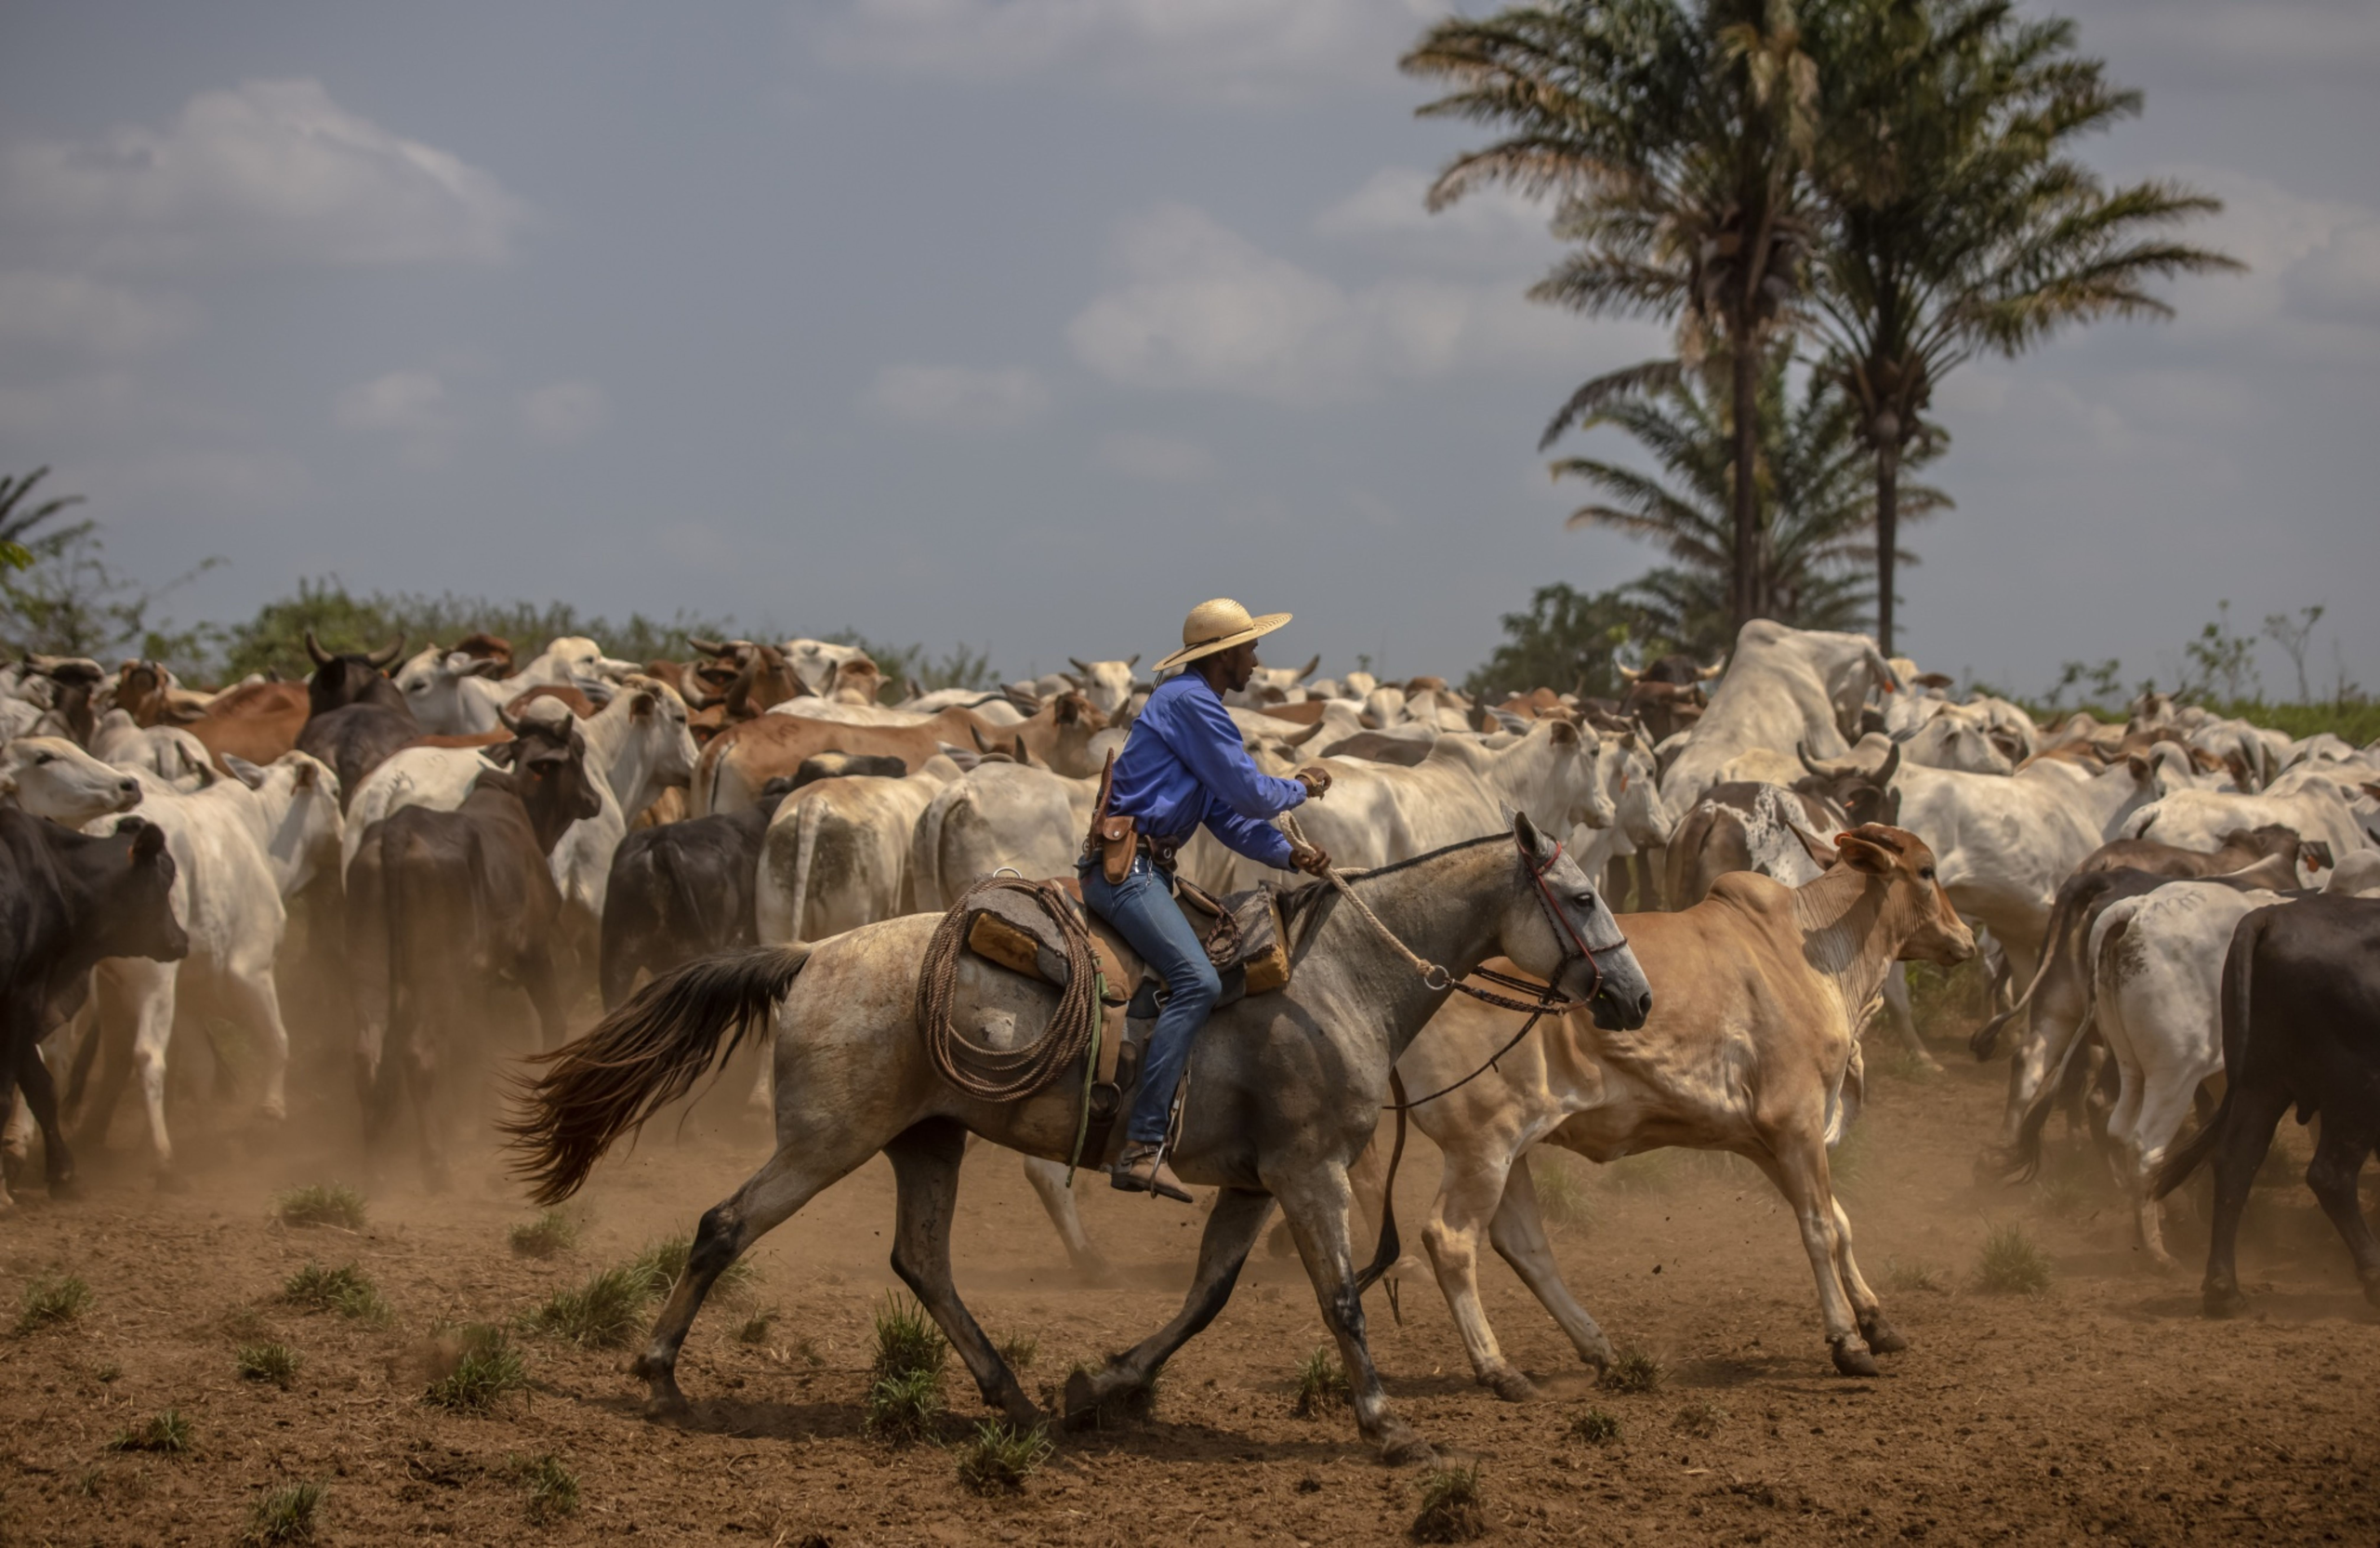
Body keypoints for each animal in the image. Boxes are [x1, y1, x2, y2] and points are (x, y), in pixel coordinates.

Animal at [0, 809, 188, 1205]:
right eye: (165, 878)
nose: (182, 940)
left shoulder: (24, 1002)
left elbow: (41, 1088)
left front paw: (63, 1174)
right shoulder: (22, 997)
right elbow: (8, 1093)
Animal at [345, 705, 604, 1185]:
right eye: (577, 751)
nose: (593, 799)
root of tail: (396, 833)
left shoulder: (478, 980)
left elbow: (480, 1042)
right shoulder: (533, 950)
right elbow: (552, 1023)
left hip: (370, 966)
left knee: (367, 1052)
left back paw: (374, 1165)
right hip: (436, 974)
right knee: (418, 1052)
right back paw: (434, 1164)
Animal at [509, 809, 1646, 1457]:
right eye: (1582, 894)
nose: (1633, 997)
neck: (1339, 981)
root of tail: (812, 954)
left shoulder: (1254, 1181)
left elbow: (1208, 1297)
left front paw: (1103, 1387)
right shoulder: (1310, 1170)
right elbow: (1336, 1299)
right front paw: (1385, 1425)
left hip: (928, 1138)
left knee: (921, 1259)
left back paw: (1014, 1399)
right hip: (824, 1140)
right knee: (724, 1226)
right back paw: (662, 1378)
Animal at [2151, 891, 2380, 1314]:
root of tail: (2273, 918)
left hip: (2260, 1084)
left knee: (2235, 1162)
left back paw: (2223, 1289)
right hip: (2356, 1094)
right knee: (2331, 1176)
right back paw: (2374, 1277)